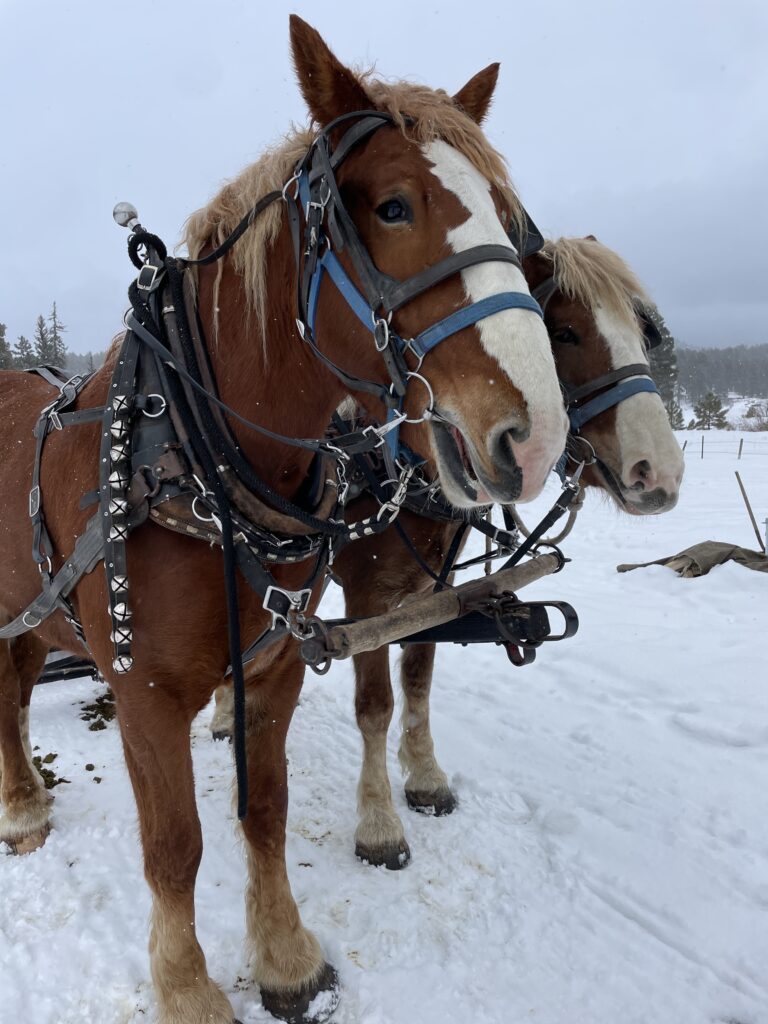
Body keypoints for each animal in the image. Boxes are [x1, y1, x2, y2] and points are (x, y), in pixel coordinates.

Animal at [0, 14, 569, 1024]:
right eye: (393, 208)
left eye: (510, 220)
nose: (537, 435)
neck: (198, 458)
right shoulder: (145, 693)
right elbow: (174, 847)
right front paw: (188, 989)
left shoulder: (275, 667)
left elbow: (261, 813)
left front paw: (285, 957)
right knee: (4, 691)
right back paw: (23, 806)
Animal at [335, 235, 684, 868]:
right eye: (564, 332)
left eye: (644, 334)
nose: (662, 474)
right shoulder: (366, 599)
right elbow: (374, 706)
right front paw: (377, 824)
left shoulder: (434, 591)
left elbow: (418, 682)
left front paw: (426, 778)